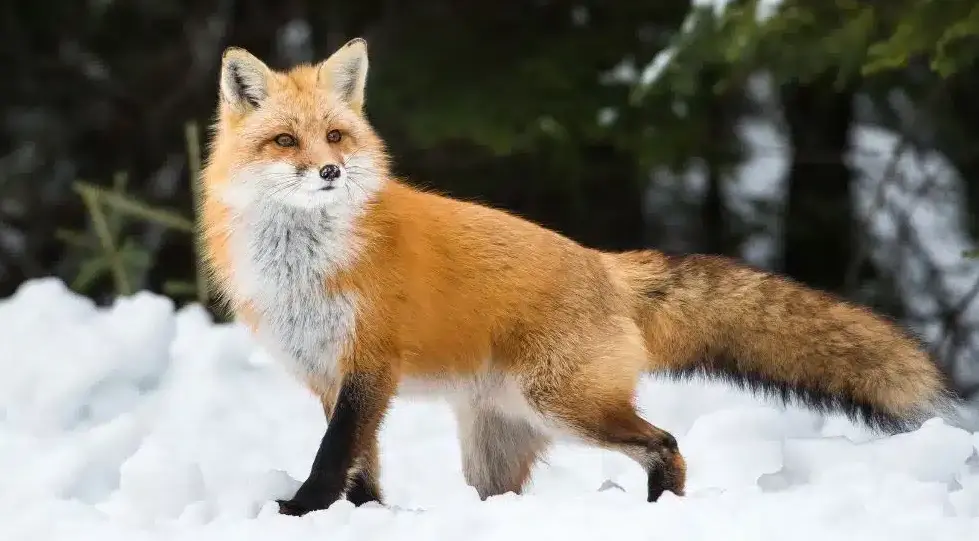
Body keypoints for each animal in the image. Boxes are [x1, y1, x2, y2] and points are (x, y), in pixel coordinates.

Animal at [199, 38, 960, 516]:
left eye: (335, 136)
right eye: (285, 141)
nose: (330, 170)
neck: (306, 264)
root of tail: (604, 264)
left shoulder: (369, 365)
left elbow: (335, 457)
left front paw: (302, 510)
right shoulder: (330, 375)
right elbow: (361, 466)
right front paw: (364, 515)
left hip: (564, 404)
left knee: (666, 444)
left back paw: (662, 511)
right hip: (497, 444)